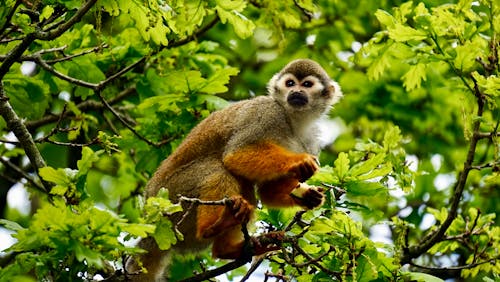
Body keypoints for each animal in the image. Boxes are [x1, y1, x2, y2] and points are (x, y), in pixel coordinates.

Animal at [127, 58, 342, 280]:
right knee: (218, 168)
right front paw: (299, 162)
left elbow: (267, 191)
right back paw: (212, 228)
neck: (293, 120)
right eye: (290, 83)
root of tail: (153, 222)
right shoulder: (266, 112)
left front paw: (308, 196)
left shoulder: (312, 139)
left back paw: (230, 248)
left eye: (306, 84)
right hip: (171, 198)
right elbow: (235, 154)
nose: (296, 92)